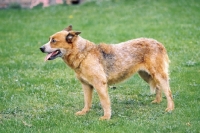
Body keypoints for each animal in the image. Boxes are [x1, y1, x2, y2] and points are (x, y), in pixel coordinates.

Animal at [39, 25, 173, 119]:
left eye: (54, 41)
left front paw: (106, 117)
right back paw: (157, 101)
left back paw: (170, 109)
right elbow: (87, 101)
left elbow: (105, 102)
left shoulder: (100, 84)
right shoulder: (86, 85)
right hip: (146, 75)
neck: (84, 55)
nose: (41, 48)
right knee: (158, 87)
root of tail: (159, 43)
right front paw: (84, 112)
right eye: (49, 39)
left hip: (158, 75)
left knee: (168, 92)